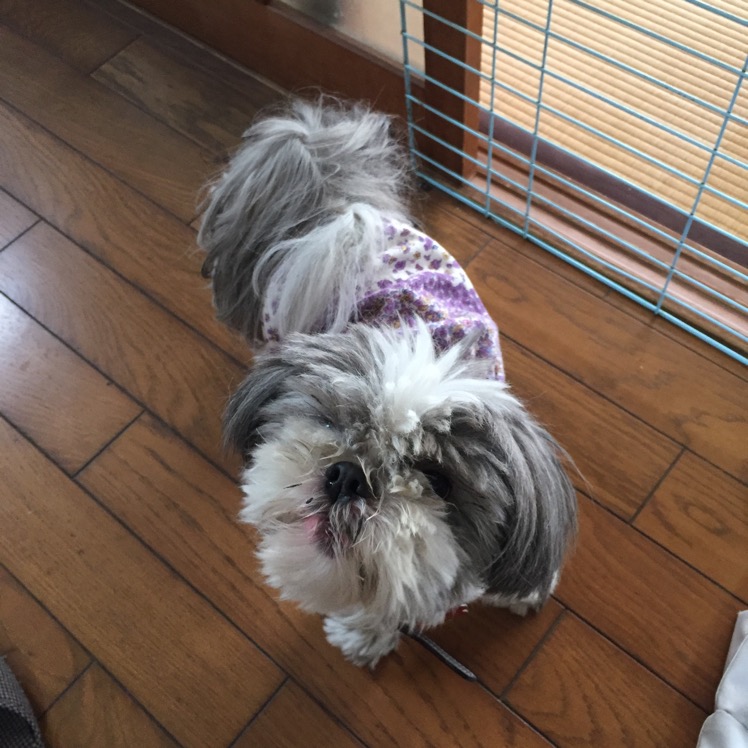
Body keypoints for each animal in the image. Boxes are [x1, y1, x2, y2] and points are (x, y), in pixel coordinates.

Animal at [198, 97, 577, 668]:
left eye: (436, 479)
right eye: (331, 423)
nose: (348, 475)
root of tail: (346, 211)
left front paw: (526, 590)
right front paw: (366, 632)